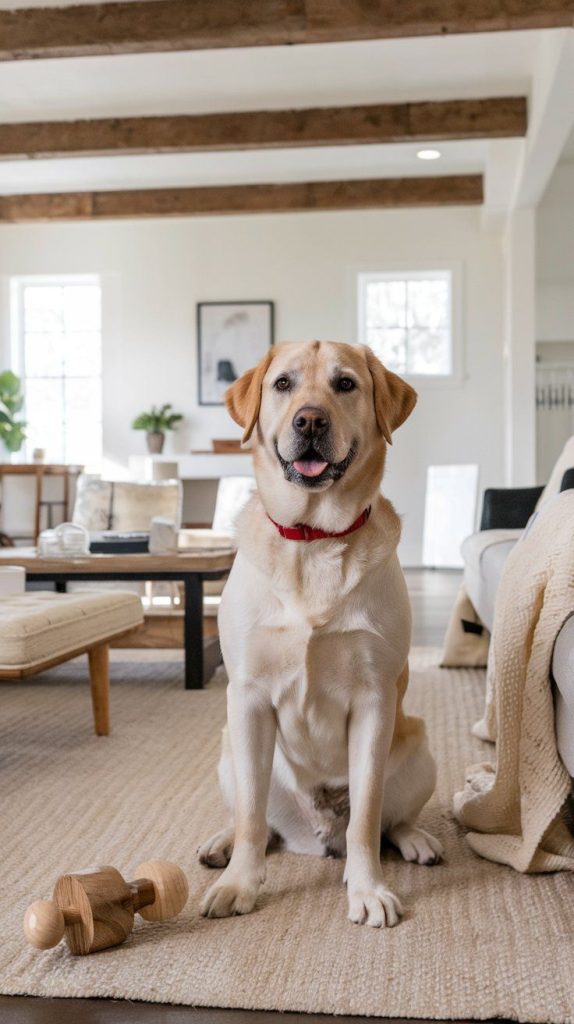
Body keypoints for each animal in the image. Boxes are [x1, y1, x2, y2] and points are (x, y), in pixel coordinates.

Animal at [199, 342, 439, 929]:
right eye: (283, 384)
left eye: (345, 384)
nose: (309, 420)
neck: (311, 538)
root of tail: (315, 834)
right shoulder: (248, 699)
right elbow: (250, 817)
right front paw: (239, 884)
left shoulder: (375, 699)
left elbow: (367, 817)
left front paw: (368, 889)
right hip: (229, 745)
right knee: (258, 823)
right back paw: (221, 845)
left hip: (420, 748)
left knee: (389, 821)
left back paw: (415, 840)